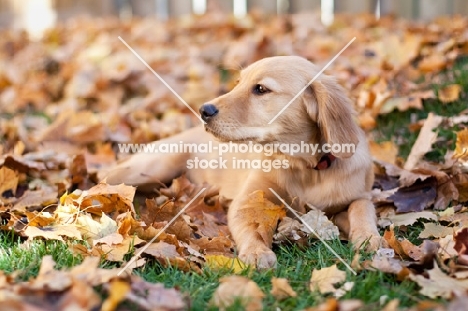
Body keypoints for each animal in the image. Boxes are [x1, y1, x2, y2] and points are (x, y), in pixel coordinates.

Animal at [102, 55, 380, 268]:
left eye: (260, 89)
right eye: (239, 83)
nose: (203, 111)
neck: (304, 166)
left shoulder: (355, 197)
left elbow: (362, 209)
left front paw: (369, 238)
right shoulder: (246, 201)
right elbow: (252, 226)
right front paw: (257, 252)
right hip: (155, 166)